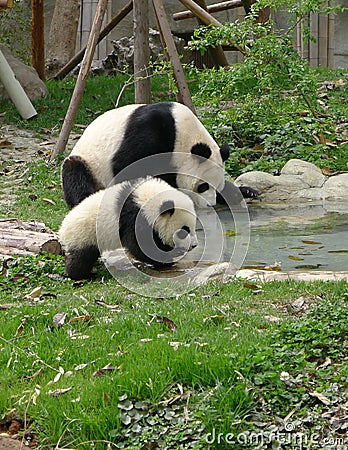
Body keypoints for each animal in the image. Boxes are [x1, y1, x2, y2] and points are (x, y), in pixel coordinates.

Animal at [58, 178, 197, 280]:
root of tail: (62, 229)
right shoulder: (134, 218)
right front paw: (170, 256)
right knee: (81, 259)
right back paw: (83, 275)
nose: (194, 245)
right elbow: (138, 245)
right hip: (83, 235)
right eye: (184, 231)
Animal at [62, 102, 232, 209]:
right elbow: (126, 164)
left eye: (218, 187)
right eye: (203, 186)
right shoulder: (151, 129)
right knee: (76, 175)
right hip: (89, 163)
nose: (210, 204)